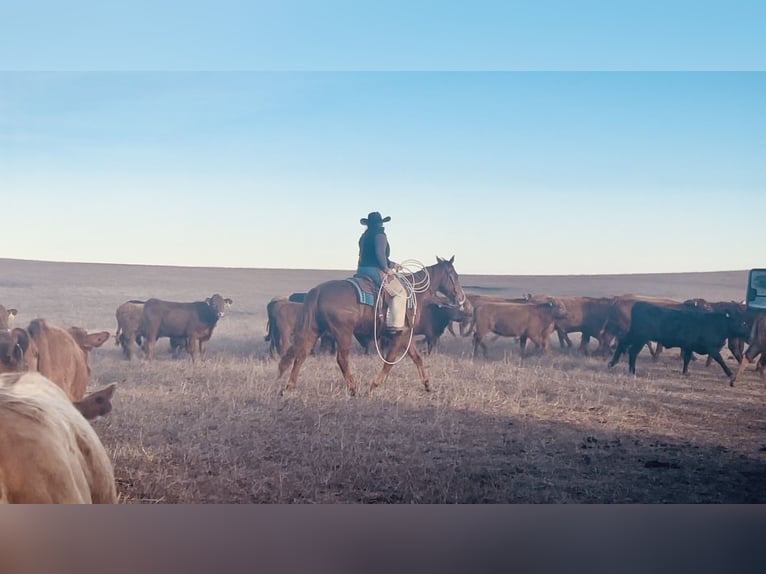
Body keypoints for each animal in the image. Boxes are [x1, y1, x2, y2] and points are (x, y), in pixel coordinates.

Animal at [278, 256, 468, 396]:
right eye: (454, 275)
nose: (460, 297)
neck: (415, 294)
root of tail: (317, 291)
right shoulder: (400, 335)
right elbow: (390, 361)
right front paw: (374, 386)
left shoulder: (407, 336)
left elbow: (417, 358)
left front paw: (428, 385)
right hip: (343, 333)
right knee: (342, 359)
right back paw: (353, 388)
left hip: (313, 331)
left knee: (301, 355)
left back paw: (289, 386)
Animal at [608, 302, 752, 382]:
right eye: (742, 323)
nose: (749, 334)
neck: (718, 324)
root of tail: (640, 304)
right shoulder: (712, 348)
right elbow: (721, 360)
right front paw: (730, 373)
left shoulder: (689, 347)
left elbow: (687, 359)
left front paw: (685, 372)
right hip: (640, 338)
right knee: (632, 352)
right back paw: (632, 371)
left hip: (634, 335)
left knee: (622, 343)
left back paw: (613, 363)